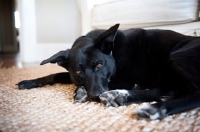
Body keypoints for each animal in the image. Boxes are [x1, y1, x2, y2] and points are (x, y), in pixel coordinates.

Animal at [17, 23, 200, 119]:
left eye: (99, 65)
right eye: (78, 72)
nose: (95, 96)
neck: (114, 53)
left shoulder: (128, 80)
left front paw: (81, 92)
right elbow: (57, 74)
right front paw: (30, 82)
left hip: (176, 57)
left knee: (189, 93)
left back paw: (154, 109)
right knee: (167, 90)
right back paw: (121, 97)